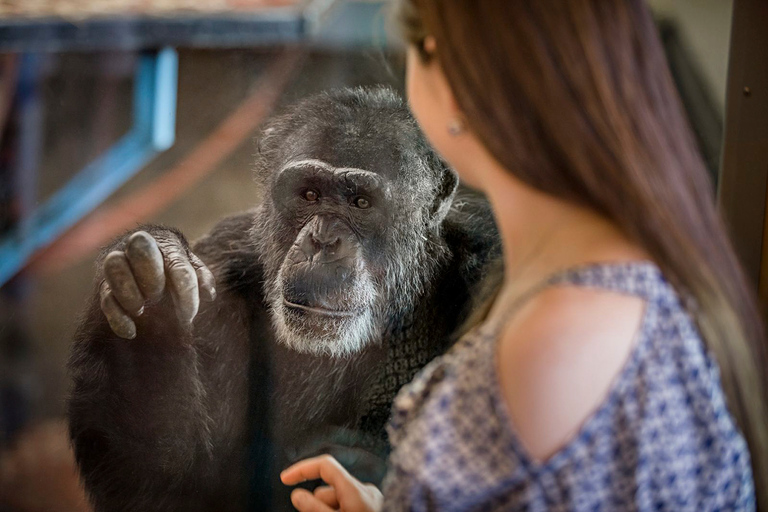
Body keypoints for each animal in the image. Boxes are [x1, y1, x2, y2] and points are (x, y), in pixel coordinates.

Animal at [64, 86, 498, 510]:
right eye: (309, 194)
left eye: (360, 202)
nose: (323, 240)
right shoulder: (220, 261)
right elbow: (172, 487)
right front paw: (151, 292)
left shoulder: (490, 260)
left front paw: (358, 472)